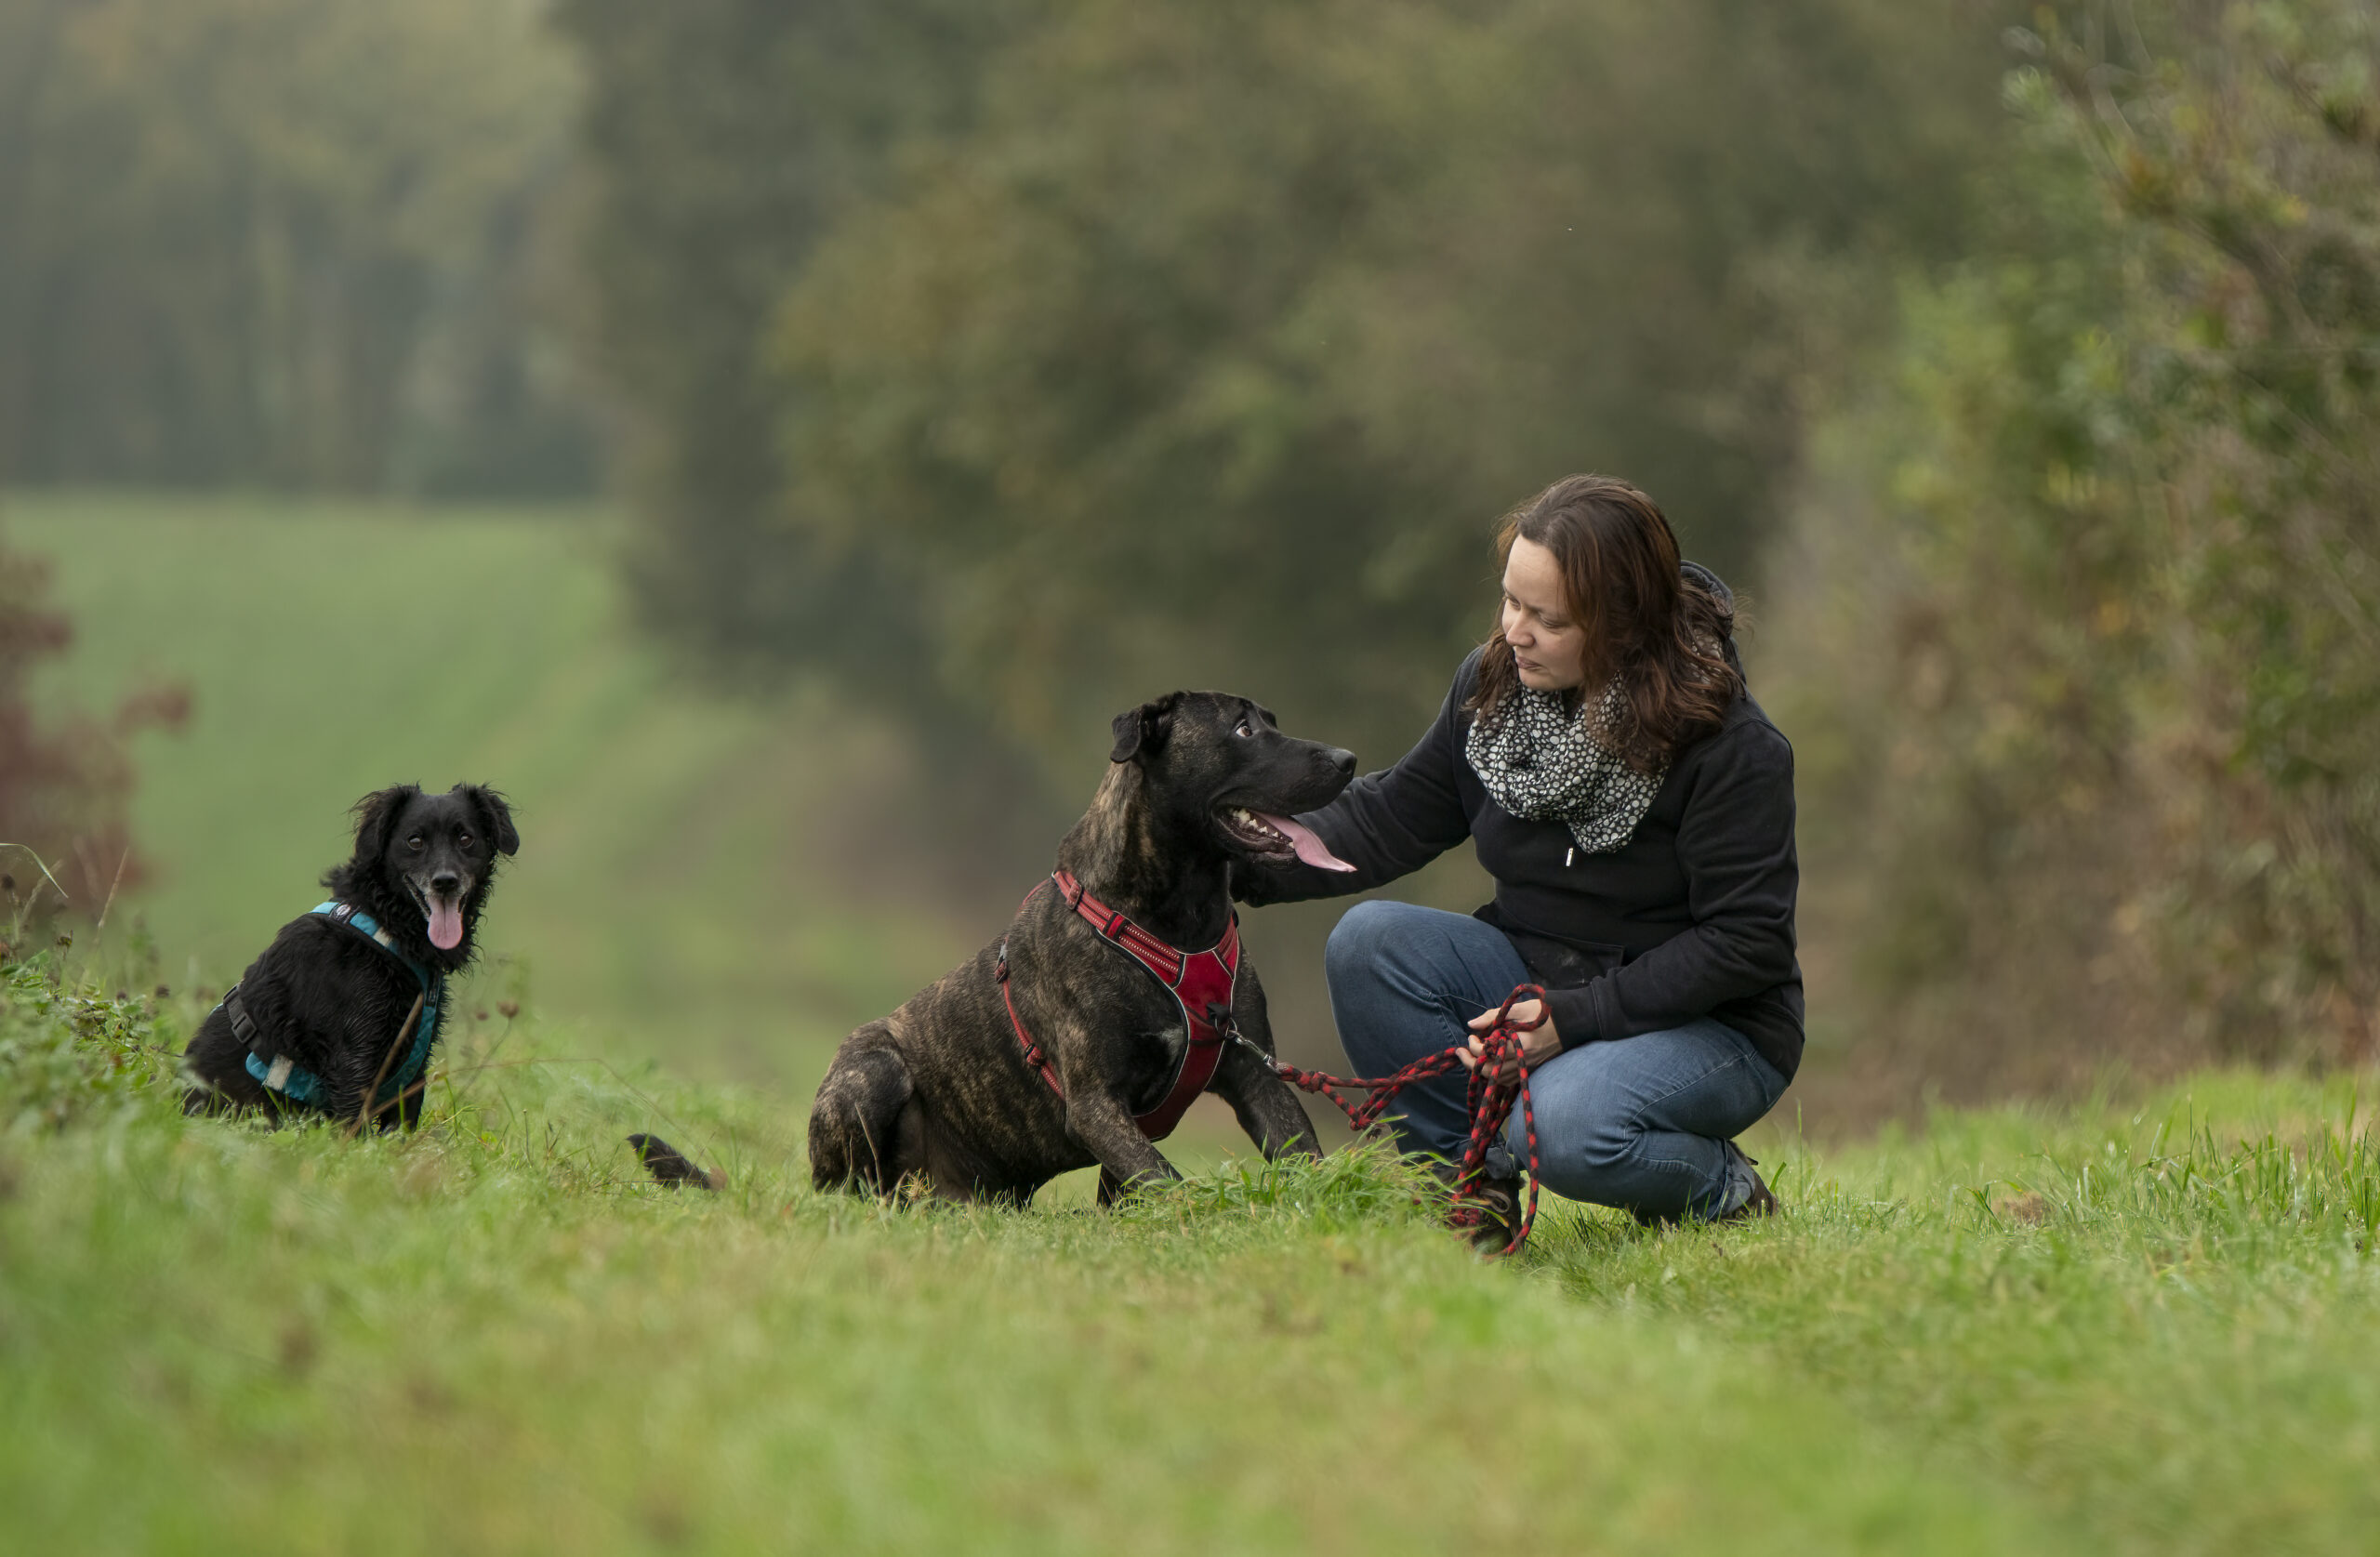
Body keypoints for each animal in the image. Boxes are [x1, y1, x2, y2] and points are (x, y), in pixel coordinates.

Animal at [181, 785, 521, 1128]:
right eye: (414, 841)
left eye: (466, 838)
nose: (445, 881)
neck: (385, 924)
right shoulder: (355, 1060)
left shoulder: (412, 1070)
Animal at [785, 690, 1361, 1209]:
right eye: (1243, 730)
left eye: (1271, 722)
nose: (1348, 759)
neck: (1180, 923)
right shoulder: (1095, 1103)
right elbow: (1166, 1181)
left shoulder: (1258, 1077)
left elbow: (1303, 1155)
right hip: (873, 1072)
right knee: (853, 1185)